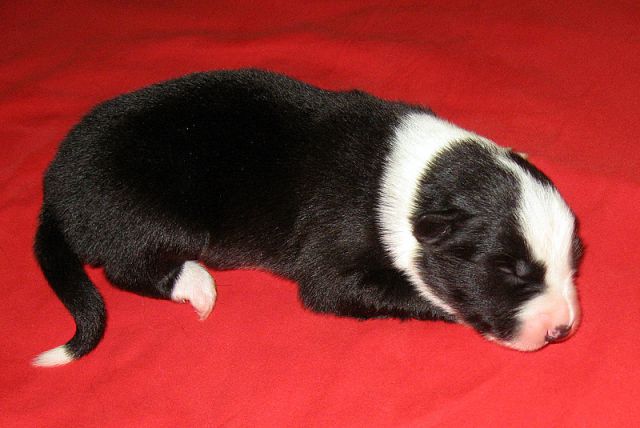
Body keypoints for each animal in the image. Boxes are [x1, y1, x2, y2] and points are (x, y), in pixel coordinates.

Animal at [33, 69, 583, 366]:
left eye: (575, 260)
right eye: (511, 272)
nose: (563, 329)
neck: (418, 179)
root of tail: (54, 193)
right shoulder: (333, 264)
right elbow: (394, 289)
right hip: (158, 218)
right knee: (126, 268)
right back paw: (198, 285)